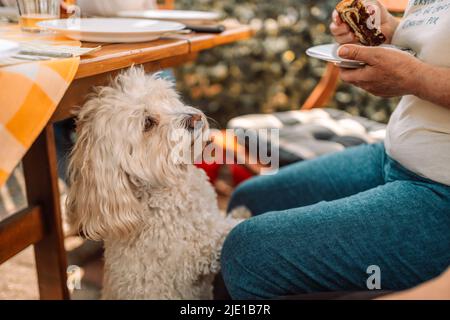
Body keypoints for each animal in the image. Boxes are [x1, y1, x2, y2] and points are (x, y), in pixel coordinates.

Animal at [67, 67, 246, 300]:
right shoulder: (191, 255)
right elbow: (223, 233)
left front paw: (240, 211)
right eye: (148, 123)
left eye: (166, 99)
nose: (195, 117)